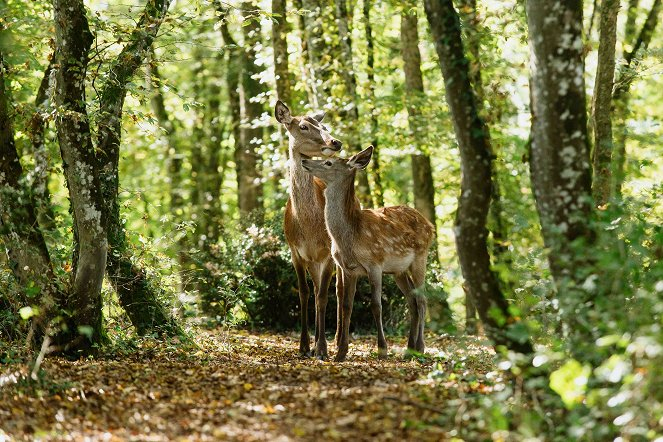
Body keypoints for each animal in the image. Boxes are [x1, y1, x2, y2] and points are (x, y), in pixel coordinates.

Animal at [272, 100, 342, 360]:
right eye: (303, 126)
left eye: (324, 125)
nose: (335, 142)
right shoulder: (295, 252)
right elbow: (304, 293)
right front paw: (303, 346)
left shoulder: (328, 252)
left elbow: (322, 296)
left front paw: (321, 348)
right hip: (312, 262)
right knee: (315, 288)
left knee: (338, 290)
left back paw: (336, 340)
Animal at [302, 147, 436, 360]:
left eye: (329, 163)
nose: (305, 161)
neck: (351, 236)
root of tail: (430, 225)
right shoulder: (348, 269)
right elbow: (346, 306)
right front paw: (341, 353)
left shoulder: (375, 263)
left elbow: (376, 305)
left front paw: (382, 349)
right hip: (399, 270)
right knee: (412, 301)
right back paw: (409, 350)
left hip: (421, 257)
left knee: (422, 300)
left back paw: (420, 348)